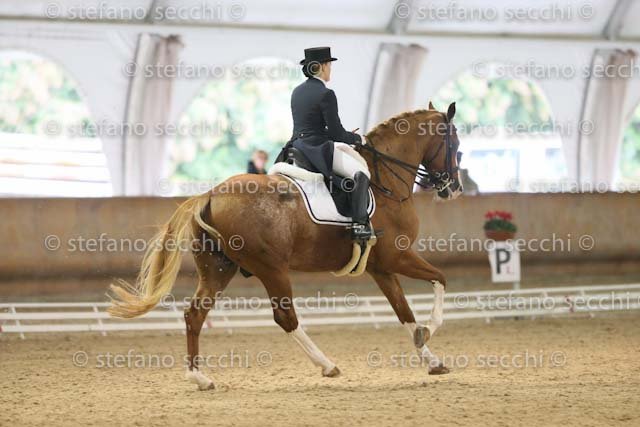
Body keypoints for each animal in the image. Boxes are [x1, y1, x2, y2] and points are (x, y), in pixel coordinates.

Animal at [108, 102, 463, 390]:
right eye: (455, 144)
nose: (453, 188)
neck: (383, 181)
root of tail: (209, 194)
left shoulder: (381, 267)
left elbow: (404, 312)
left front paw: (432, 360)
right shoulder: (398, 256)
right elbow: (441, 279)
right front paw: (429, 329)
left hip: (218, 269)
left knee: (195, 315)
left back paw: (200, 378)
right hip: (271, 268)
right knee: (285, 317)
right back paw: (328, 365)